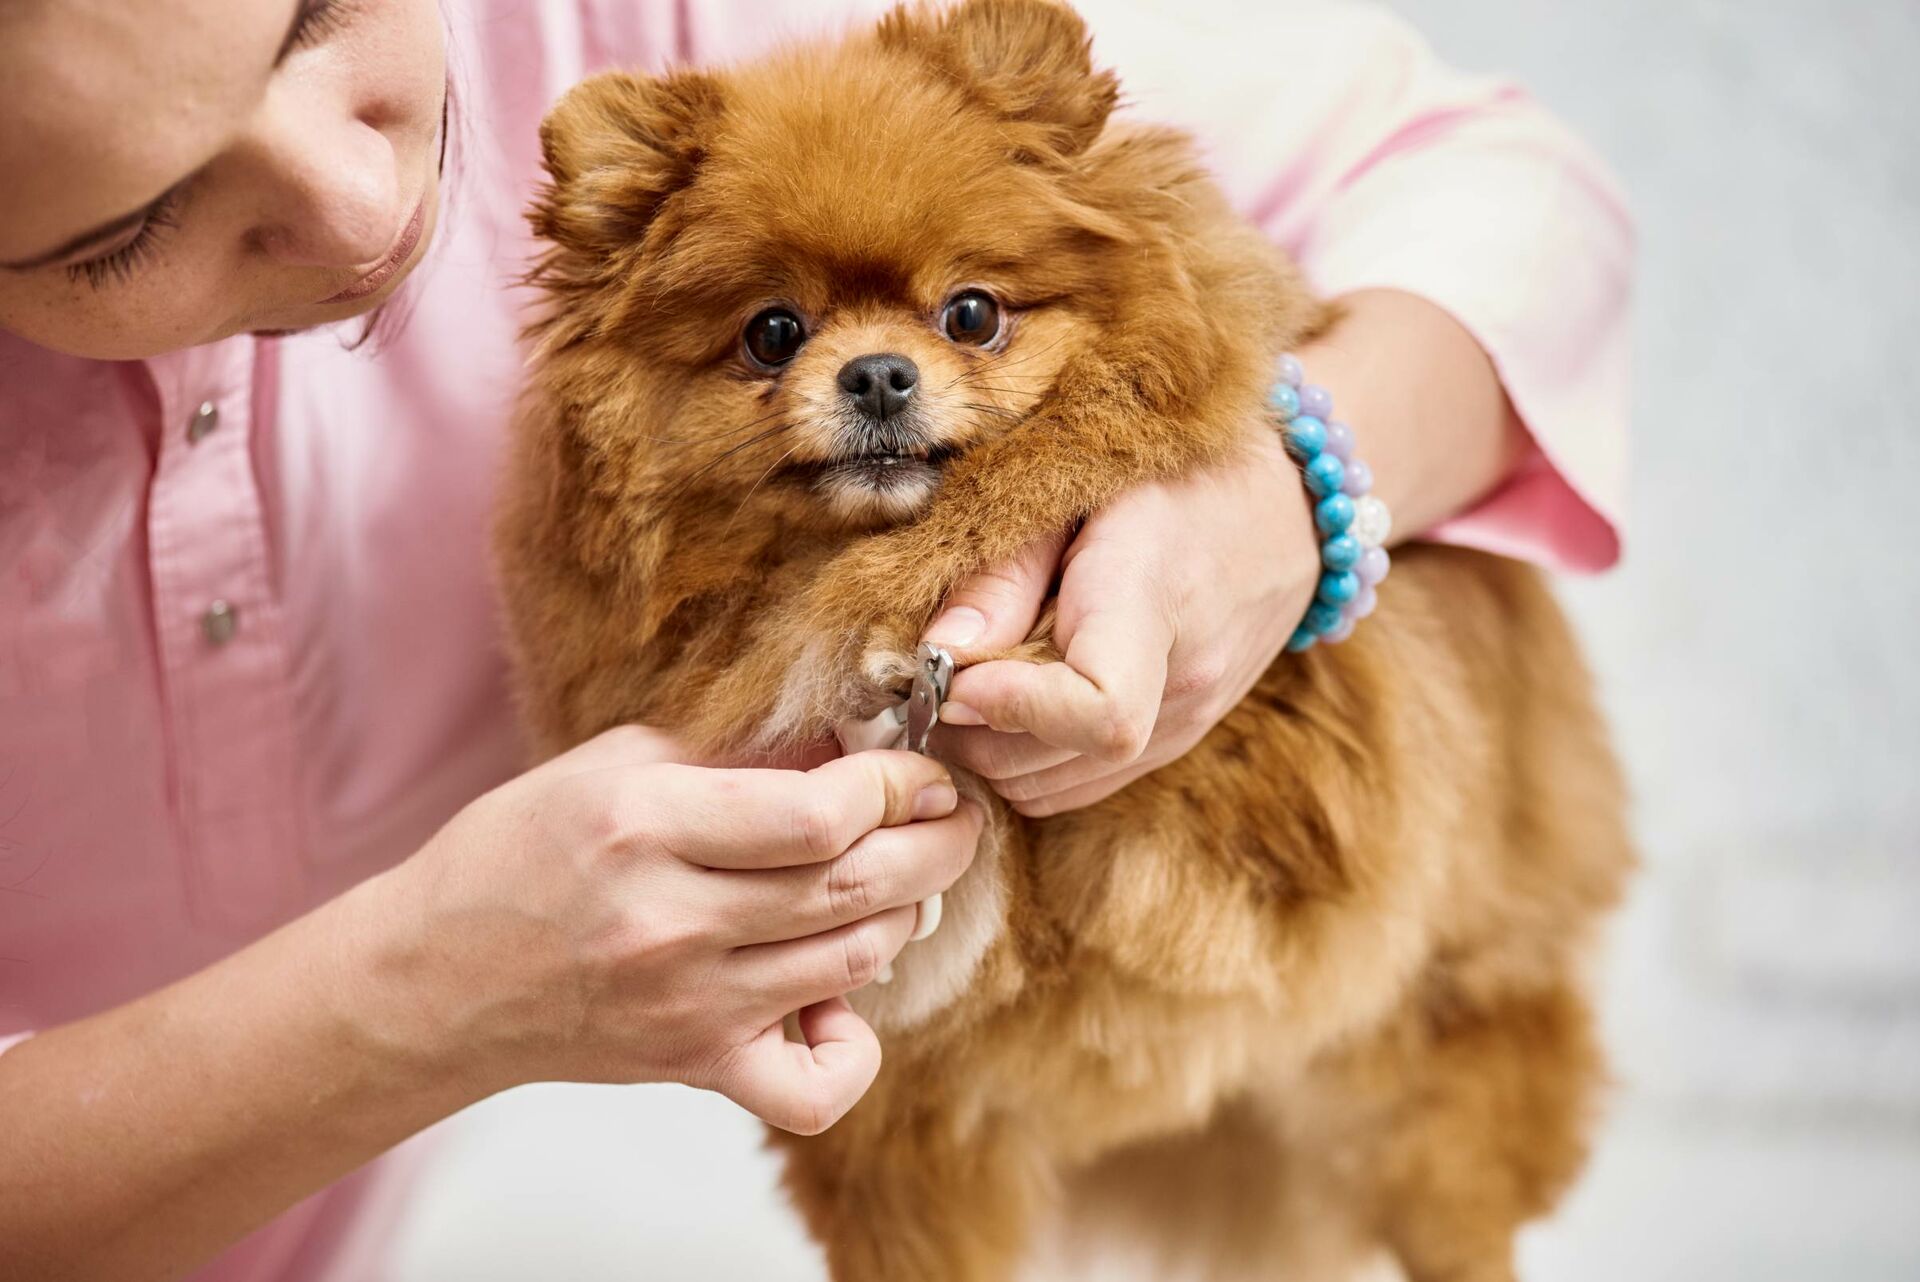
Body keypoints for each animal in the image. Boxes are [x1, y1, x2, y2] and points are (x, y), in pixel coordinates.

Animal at [499, 2, 1635, 1282]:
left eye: (972, 313)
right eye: (772, 333)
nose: (878, 372)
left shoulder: (1303, 779)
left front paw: (967, 667)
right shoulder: (899, 1128)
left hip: (1434, 1089)